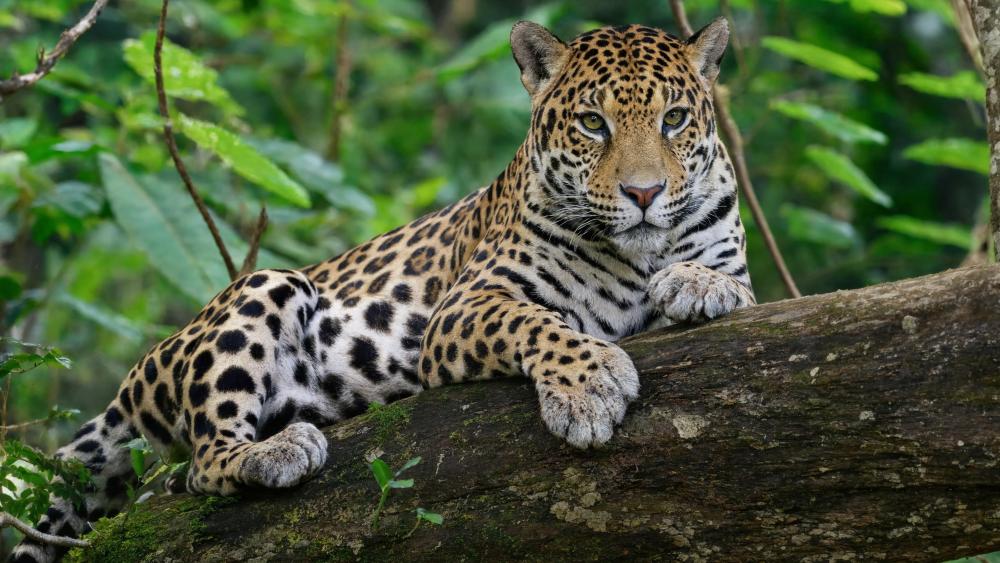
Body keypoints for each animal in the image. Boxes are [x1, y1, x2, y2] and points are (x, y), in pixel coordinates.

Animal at [10, 17, 755, 562]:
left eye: (675, 120)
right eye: (593, 124)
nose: (643, 193)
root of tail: (133, 381)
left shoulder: (742, 278)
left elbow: (729, 288)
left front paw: (695, 284)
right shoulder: (466, 306)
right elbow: (540, 322)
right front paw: (589, 384)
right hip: (262, 288)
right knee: (199, 466)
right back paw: (275, 450)